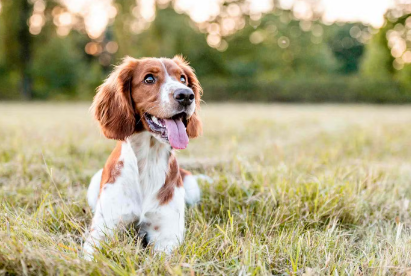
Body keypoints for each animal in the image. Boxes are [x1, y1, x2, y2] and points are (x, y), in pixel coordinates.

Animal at [83, 55, 204, 258]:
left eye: (182, 79)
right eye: (149, 79)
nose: (186, 95)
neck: (149, 160)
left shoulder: (167, 235)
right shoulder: (101, 231)